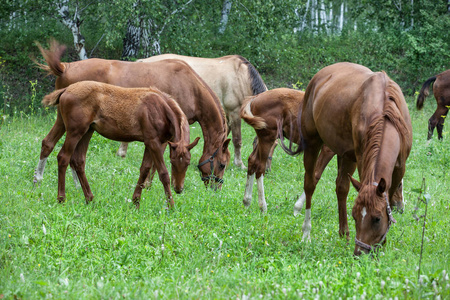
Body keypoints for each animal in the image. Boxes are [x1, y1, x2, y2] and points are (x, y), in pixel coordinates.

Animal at [33, 39, 230, 188]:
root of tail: (65, 67)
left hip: (64, 121)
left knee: (48, 144)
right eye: (222, 164)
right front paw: (149, 185)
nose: (216, 188)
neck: (190, 86)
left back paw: (42, 180)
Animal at [39, 81, 199, 209]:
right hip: (75, 131)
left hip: (81, 129)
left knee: (73, 158)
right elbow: (163, 173)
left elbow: (145, 169)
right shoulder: (153, 142)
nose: (178, 189)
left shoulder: (153, 143)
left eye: (188, 163)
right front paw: (171, 206)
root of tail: (66, 89)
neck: (162, 108)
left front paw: (136, 201)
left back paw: (89, 198)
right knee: (63, 157)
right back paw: (61, 198)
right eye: (172, 161)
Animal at [139, 53, 268, 169]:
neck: (242, 77)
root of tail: (143, 61)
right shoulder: (234, 113)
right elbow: (237, 140)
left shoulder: (225, 116)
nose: (266, 169)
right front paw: (240, 164)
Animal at [294, 63, 414, 255]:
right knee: (310, 184)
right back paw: (307, 232)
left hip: (346, 154)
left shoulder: (399, 167)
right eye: (354, 215)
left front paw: (383, 243)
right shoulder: (362, 159)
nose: (360, 252)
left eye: (377, 218)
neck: (386, 114)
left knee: (341, 187)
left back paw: (344, 234)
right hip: (313, 143)